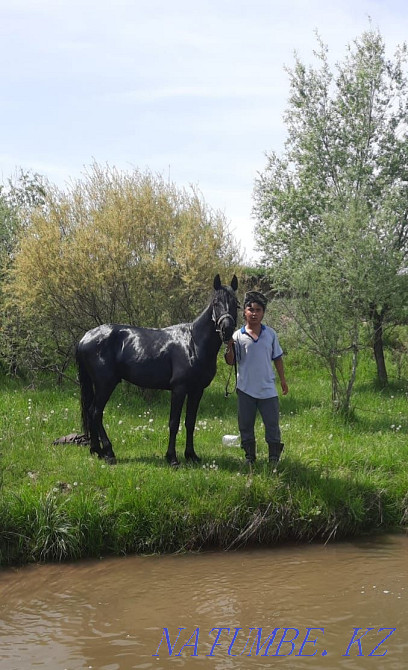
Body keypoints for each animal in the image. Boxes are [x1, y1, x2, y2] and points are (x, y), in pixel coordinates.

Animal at [75, 274, 238, 466]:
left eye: (235, 303)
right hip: (105, 384)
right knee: (95, 412)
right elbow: (174, 423)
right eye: (215, 302)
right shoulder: (179, 389)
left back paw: (97, 450)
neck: (193, 343)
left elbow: (190, 422)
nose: (227, 329)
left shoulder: (197, 390)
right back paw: (108, 452)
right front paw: (172, 458)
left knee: (90, 412)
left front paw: (191, 455)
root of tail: (86, 337)